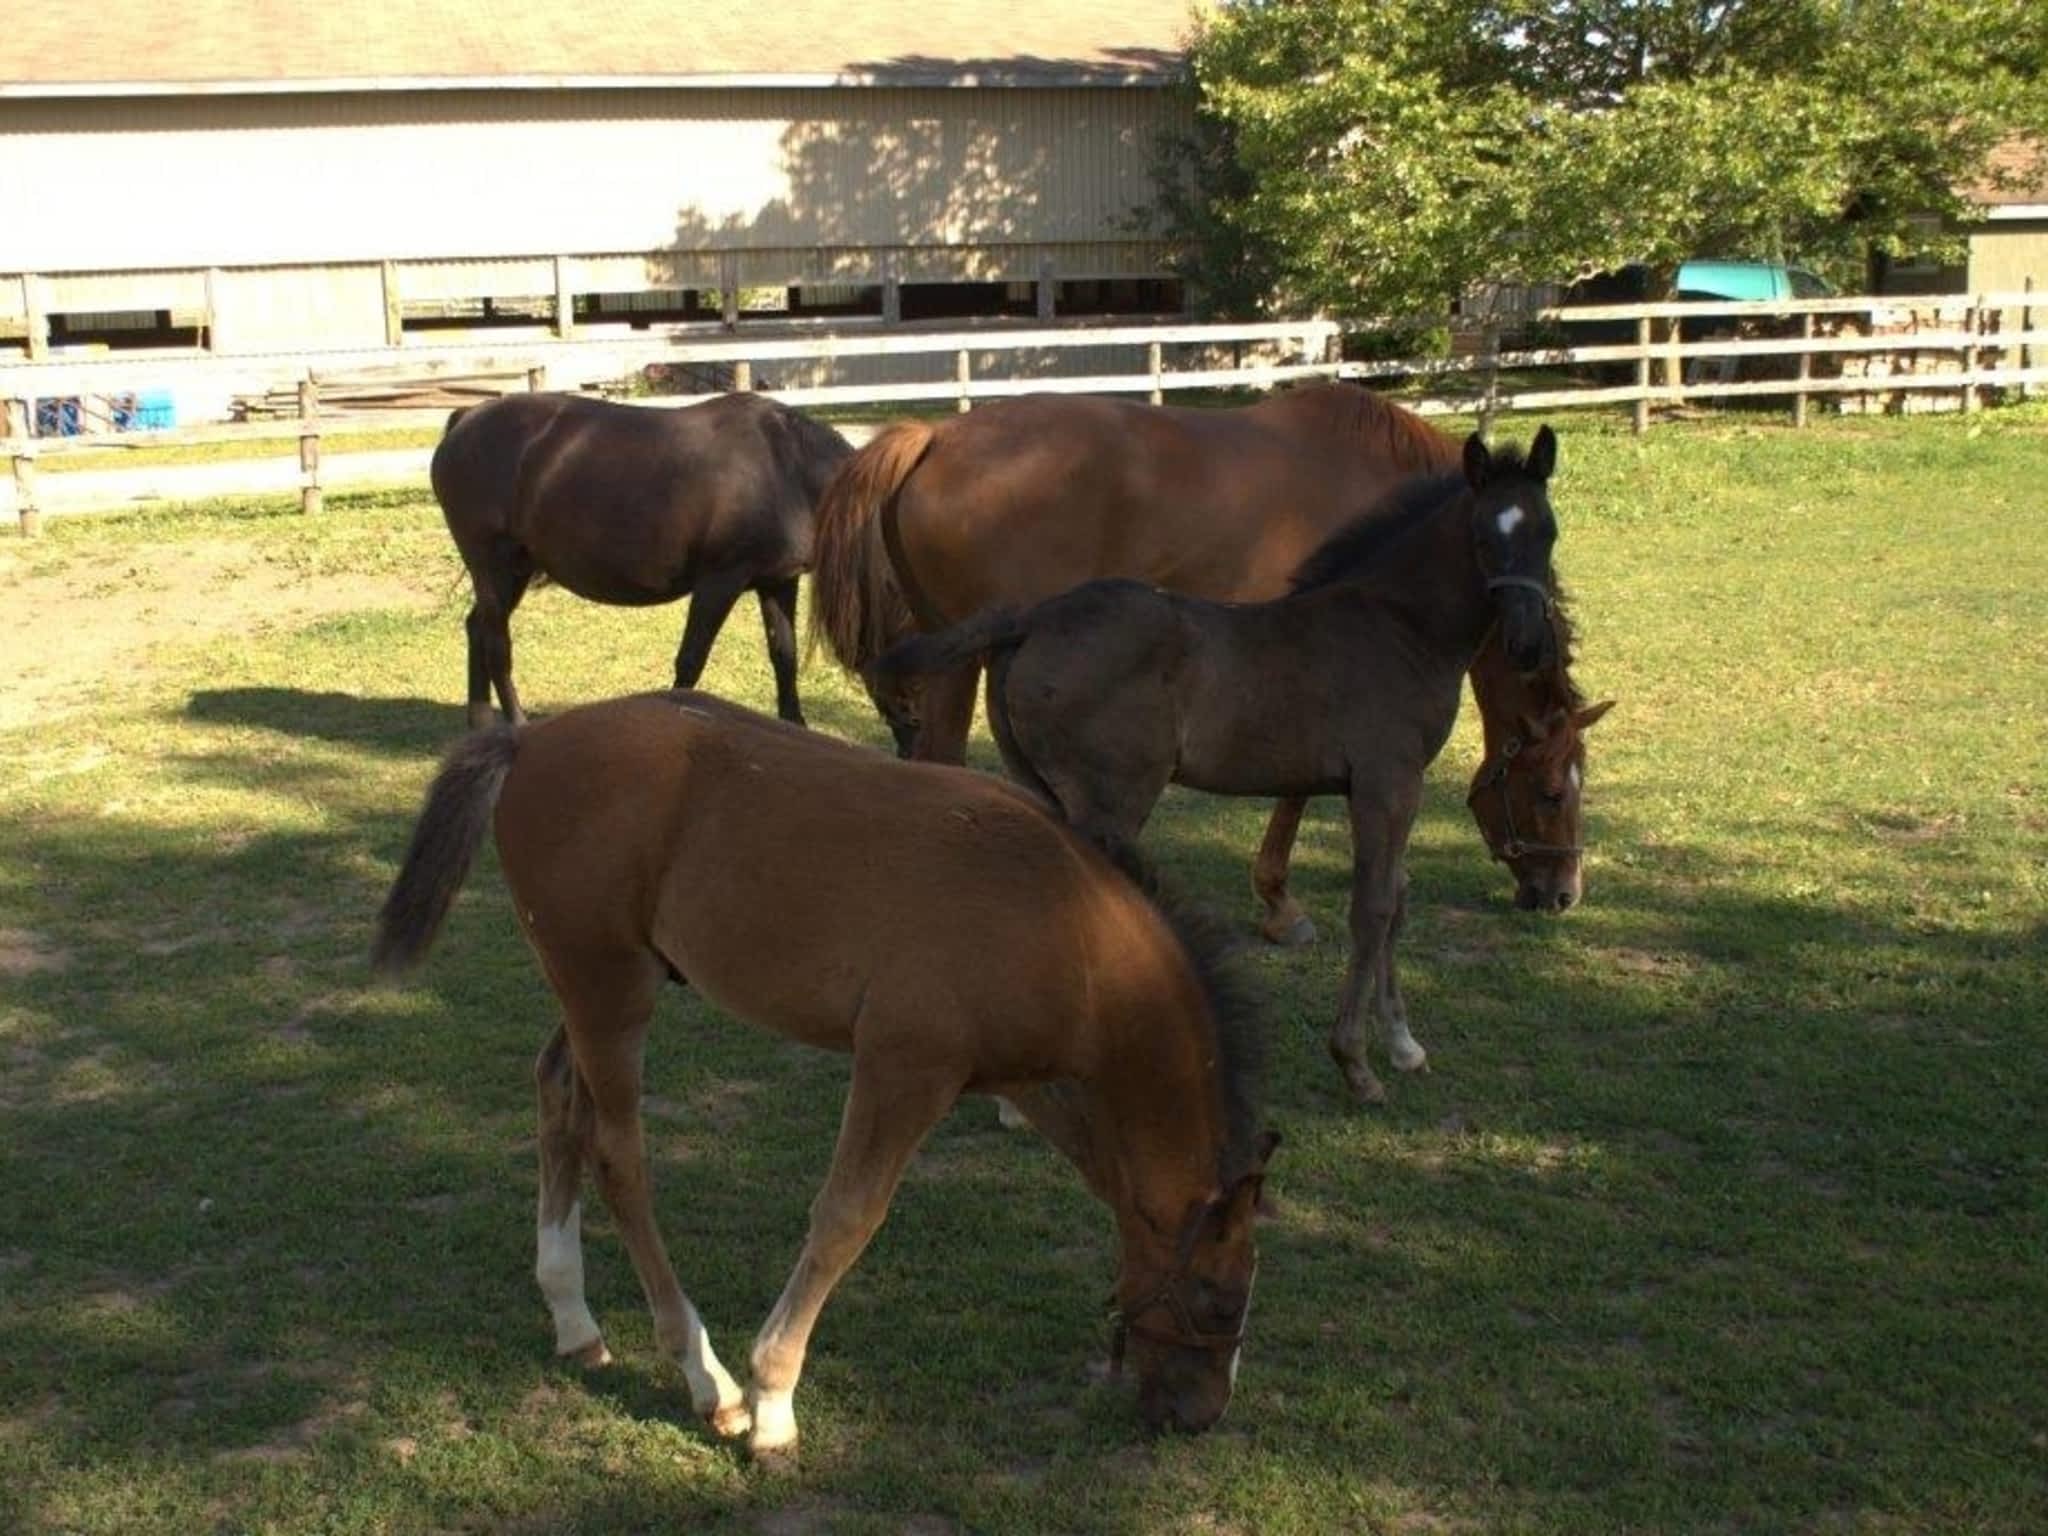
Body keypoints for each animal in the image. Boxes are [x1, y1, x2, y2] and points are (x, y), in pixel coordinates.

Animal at [368, 692, 1277, 1458]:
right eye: (1218, 1298)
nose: (1203, 1415)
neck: (1067, 929)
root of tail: (530, 739)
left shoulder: (1025, 1079)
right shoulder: (904, 1067)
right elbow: (846, 1219)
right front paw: (773, 1402)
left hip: (604, 988)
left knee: (557, 1092)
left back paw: (573, 1316)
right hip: (608, 988)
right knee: (619, 1154)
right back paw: (706, 1378)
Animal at [432, 393, 847, 737]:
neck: (785, 467)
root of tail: (466, 417)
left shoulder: (778, 582)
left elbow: (784, 657)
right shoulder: (719, 581)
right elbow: (691, 661)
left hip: (513, 571)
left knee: (477, 628)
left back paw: (481, 725)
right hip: (494, 566)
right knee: (496, 645)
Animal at [880, 434, 1564, 1105]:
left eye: (1549, 533)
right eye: (1483, 537)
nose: (1528, 643)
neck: (1397, 626)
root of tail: (1032, 618)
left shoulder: (1388, 788)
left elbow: (1397, 895)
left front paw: (1403, 1046)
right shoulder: (1387, 782)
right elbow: (1372, 906)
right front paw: (1356, 1063)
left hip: (1044, 787)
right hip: (1111, 799)